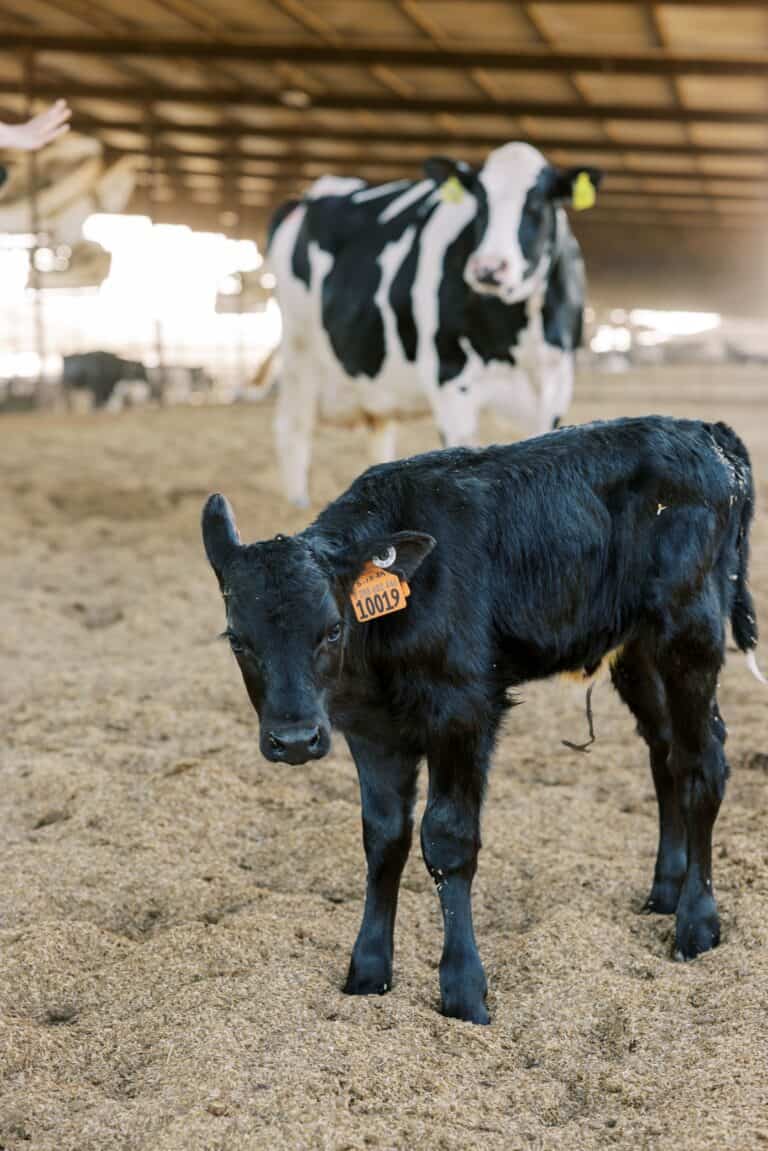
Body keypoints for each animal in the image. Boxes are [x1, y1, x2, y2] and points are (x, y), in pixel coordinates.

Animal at [202, 415, 761, 1024]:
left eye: (331, 629)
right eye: (237, 640)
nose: (296, 739)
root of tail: (703, 431)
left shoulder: (463, 710)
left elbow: (447, 839)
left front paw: (463, 990)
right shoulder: (370, 729)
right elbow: (384, 837)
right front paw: (368, 972)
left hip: (690, 631)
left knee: (703, 764)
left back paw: (696, 921)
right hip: (635, 650)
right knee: (666, 754)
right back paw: (664, 890)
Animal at [268, 141, 602, 506]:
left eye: (538, 203)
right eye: (480, 203)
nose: (488, 268)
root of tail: (308, 196)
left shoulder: (557, 382)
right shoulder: (451, 379)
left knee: (378, 429)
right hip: (298, 348)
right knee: (293, 425)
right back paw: (297, 501)